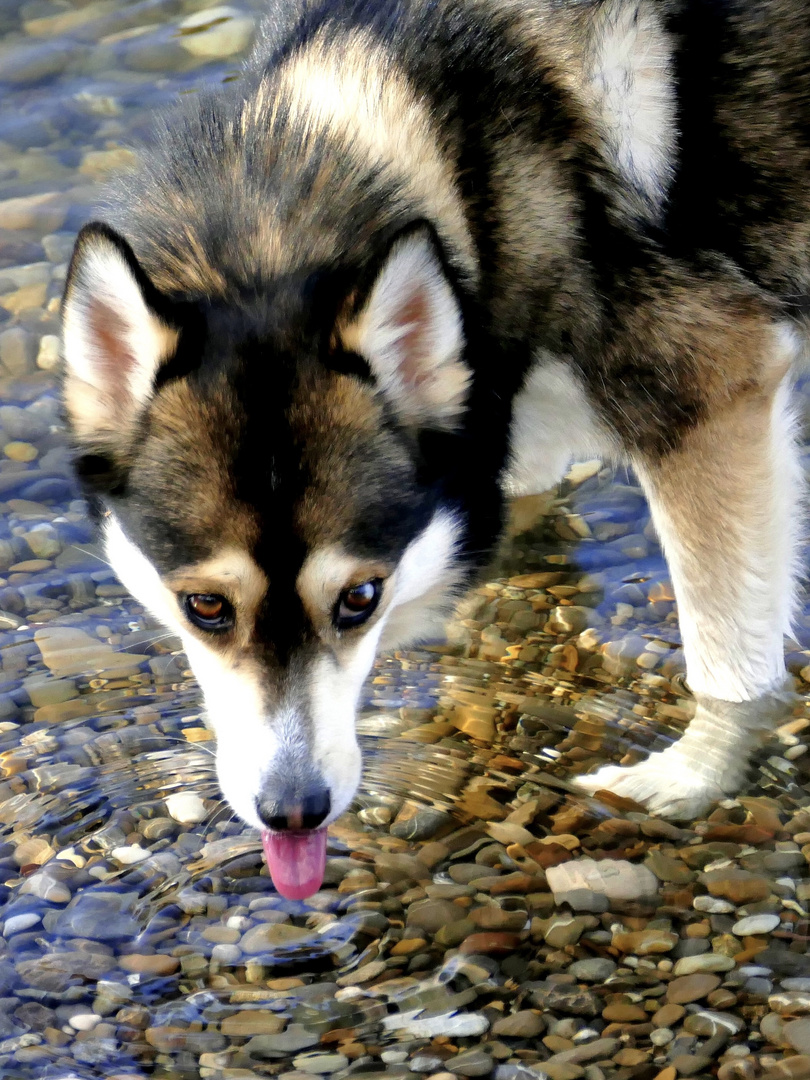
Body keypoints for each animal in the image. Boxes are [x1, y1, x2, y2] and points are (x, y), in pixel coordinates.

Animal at [61, 0, 810, 894]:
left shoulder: (714, 388)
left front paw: (691, 777)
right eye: (203, 607)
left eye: (359, 597)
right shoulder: (511, 441)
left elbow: (731, 666)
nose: (293, 812)